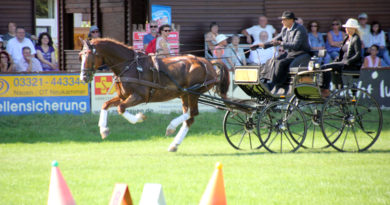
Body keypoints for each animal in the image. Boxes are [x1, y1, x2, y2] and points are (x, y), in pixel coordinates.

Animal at [79, 38, 230, 151]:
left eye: (90, 55)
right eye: (80, 55)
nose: (83, 77)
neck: (129, 66)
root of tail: (207, 62)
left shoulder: (139, 96)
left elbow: (120, 108)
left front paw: (139, 117)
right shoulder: (123, 96)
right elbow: (105, 105)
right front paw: (103, 129)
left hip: (194, 93)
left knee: (192, 113)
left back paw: (171, 127)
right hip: (185, 94)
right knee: (190, 118)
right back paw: (174, 144)